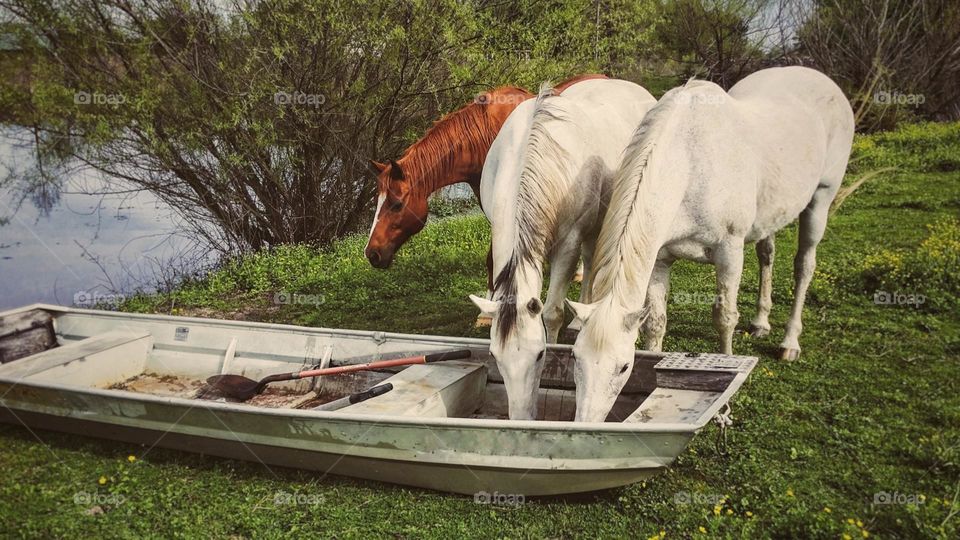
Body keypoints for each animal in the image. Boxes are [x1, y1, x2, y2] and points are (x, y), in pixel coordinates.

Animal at [568, 66, 856, 422]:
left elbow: (724, 317)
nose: (586, 421)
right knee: (767, 254)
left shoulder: (729, 252)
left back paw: (790, 342)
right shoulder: (660, 259)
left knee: (804, 265)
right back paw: (761, 323)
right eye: (575, 358)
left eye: (622, 367)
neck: (690, 163)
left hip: (820, 200)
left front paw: (726, 399)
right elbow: (656, 323)